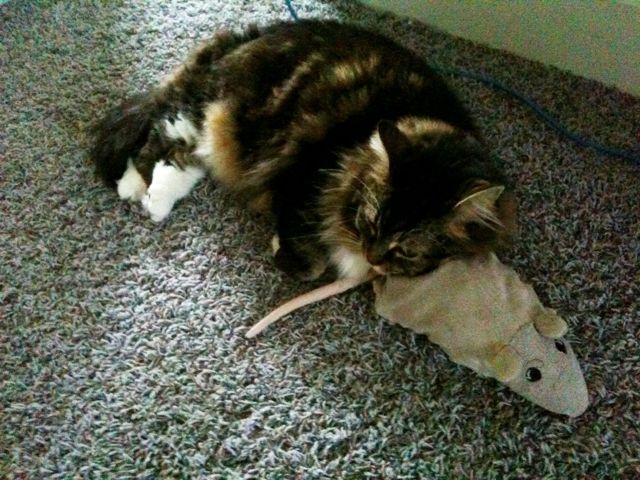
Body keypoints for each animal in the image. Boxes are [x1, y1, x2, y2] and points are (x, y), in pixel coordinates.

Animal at [92, 20, 516, 281]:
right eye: (372, 221)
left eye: (408, 249)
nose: (373, 256)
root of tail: (241, 37)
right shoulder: (301, 175)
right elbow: (310, 262)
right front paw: (284, 250)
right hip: (206, 115)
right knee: (154, 141)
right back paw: (136, 191)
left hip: (211, 131)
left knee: (179, 159)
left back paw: (150, 198)